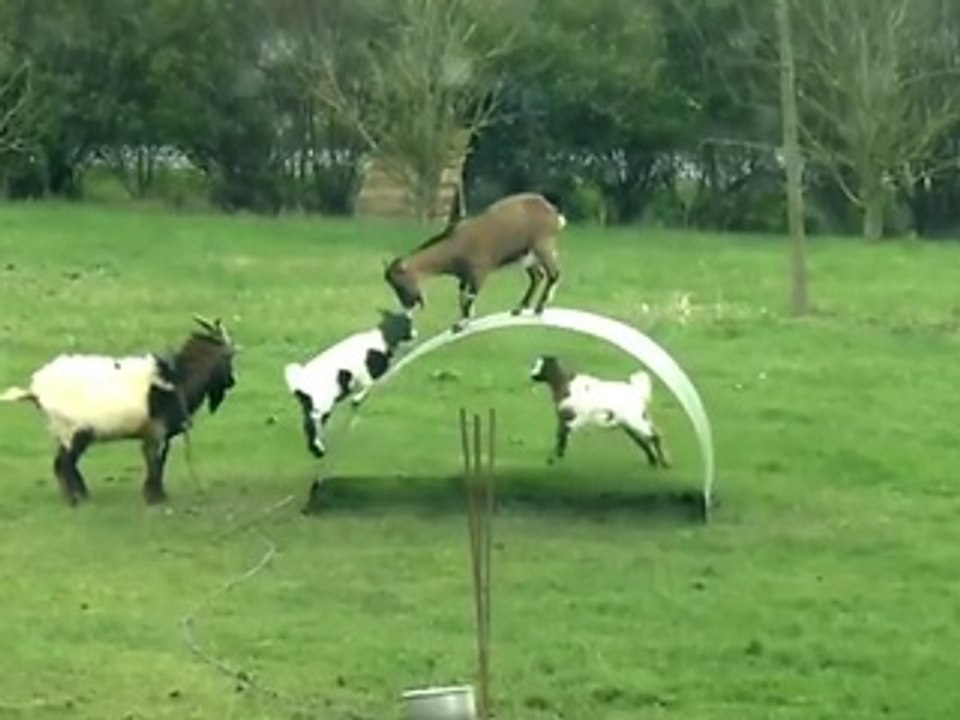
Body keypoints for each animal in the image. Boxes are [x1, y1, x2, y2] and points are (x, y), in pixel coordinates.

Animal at [0, 317, 237, 505]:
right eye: (229, 357)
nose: (232, 382)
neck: (176, 379)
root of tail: (35, 389)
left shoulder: (157, 434)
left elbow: (158, 461)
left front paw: (155, 494)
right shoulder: (157, 432)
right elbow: (156, 461)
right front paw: (155, 497)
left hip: (62, 432)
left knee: (63, 463)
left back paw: (80, 495)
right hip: (74, 431)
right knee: (64, 464)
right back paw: (76, 499)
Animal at [283, 309, 416, 459]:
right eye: (408, 324)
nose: (415, 333)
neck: (380, 339)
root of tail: (299, 383)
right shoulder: (367, 375)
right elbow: (368, 386)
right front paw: (357, 399)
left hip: (314, 405)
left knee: (309, 423)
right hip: (322, 403)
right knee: (314, 421)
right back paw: (319, 448)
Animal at [384, 192, 566, 331]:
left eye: (400, 284)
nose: (408, 305)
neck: (453, 246)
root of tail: (553, 213)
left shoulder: (478, 273)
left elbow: (469, 298)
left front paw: (461, 324)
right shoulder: (464, 278)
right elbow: (462, 297)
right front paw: (465, 319)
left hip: (542, 246)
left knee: (553, 274)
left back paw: (539, 308)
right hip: (526, 256)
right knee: (538, 276)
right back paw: (519, 308)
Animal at [529, 355, 670, 468]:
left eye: (539, 365)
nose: (532, 375)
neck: (566, 385)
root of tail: (637, 390)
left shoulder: (575, 417)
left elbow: (562, 434)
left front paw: (552, 459)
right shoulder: (565, 417)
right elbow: (561, 435)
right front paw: (558, 456)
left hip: (634, 419)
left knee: (654, 436)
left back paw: (664, 464)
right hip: (633, 421)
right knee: (644, 440)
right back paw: (653, 462)